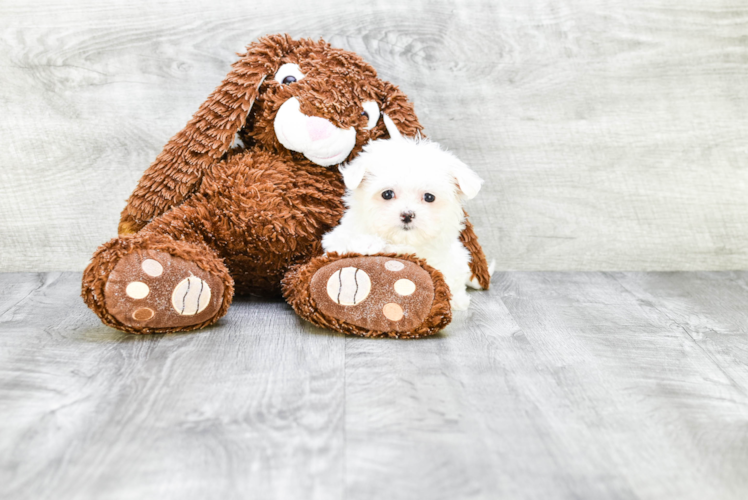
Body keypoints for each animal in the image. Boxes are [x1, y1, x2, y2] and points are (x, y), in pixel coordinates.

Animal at [322, 115, 488, 308]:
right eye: (387, 194)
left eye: (429, 197)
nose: (407, 215)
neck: (402, 242)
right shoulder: (338, 238)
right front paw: (369, 244)